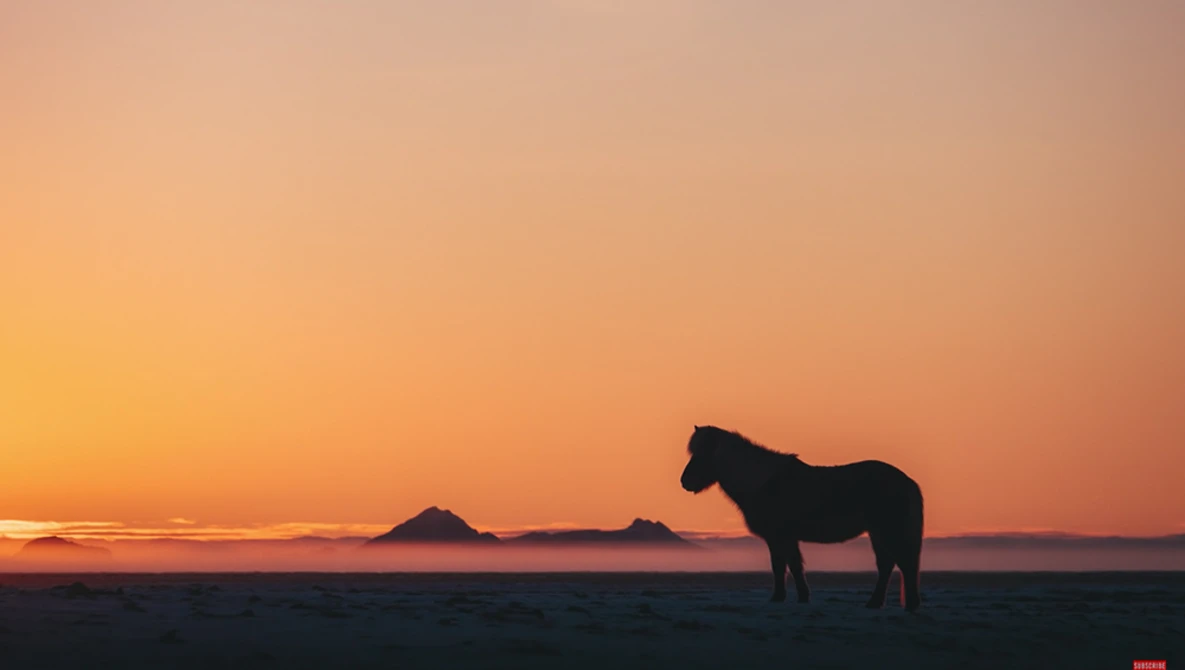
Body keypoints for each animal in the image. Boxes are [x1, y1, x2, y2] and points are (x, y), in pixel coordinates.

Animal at [680, 425, 924, 611]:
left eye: (703, 454)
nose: (685, 481)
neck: (762, 483)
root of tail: (907, 482)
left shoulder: (778, 537)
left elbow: (781, 566)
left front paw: (780, 597)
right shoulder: (786, 538)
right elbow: (793, 565)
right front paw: (801, 597)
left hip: (889, 531)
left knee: (903, 564)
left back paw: (908, 605)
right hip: (878, 533)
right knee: (887, 565)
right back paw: (875, 603)